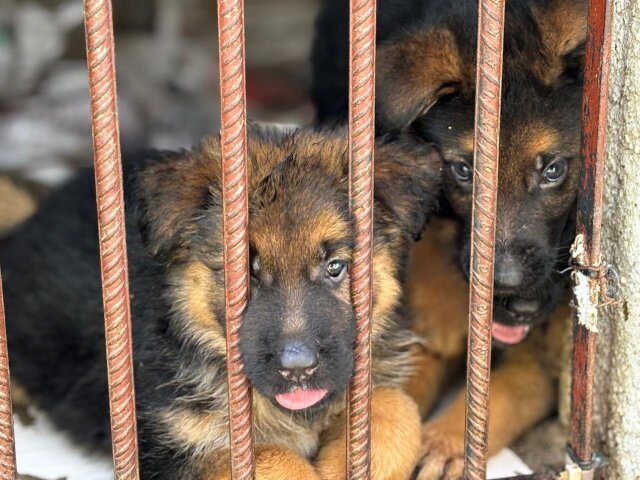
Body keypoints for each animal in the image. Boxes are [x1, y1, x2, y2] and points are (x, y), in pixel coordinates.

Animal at [1, 124, 440, 480]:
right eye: (244, 273)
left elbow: (395, 406)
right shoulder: (172, 447)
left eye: (335, 266)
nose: (298, 369)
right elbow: (273, 458)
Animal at [312, 0, 588, 476]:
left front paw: (442, 445)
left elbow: (494, 398)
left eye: (553, 169)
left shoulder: (537, 362)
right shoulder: (426, 335)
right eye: (463, 170)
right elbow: (394, 394)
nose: (507, 289)